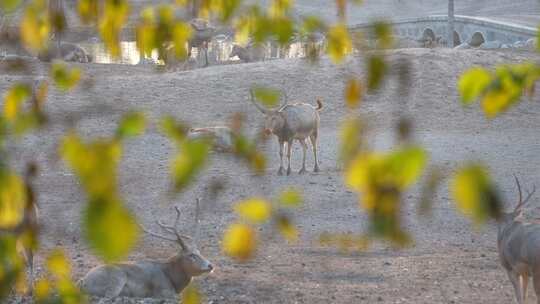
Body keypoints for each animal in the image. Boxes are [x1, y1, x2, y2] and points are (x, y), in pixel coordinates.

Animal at [78, 207, 213, 300]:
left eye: (199, 252)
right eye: (191, 255)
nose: (210, 265)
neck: (174, 281)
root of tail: (83, 282)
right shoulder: (163, 290)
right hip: (116, 278)